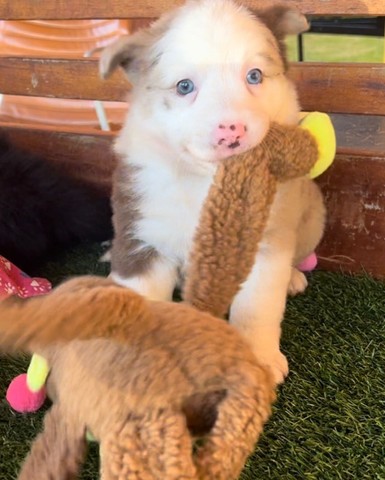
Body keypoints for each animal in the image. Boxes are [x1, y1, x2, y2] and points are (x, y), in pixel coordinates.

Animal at [100, 0, 326, 382]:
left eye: (254, 76)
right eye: (184, 86)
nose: (231, 130)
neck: (206, 182)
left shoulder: (264, 243)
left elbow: (256, 307)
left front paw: (259, 358)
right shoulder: (143, 235)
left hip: (312, 214)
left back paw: (294, 277)